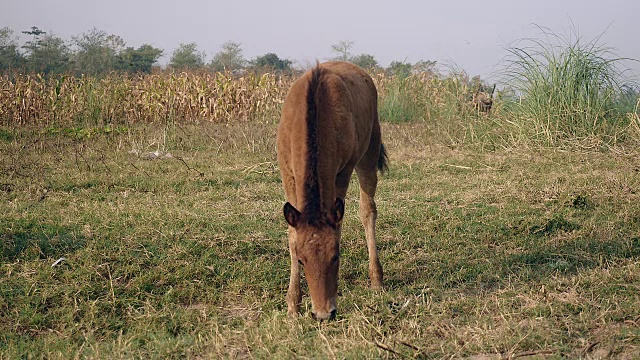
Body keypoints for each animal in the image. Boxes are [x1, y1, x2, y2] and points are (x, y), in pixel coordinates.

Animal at [276, 62, 384, 320]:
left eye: (336, 256)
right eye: (302, 260)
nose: (323, 313)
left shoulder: (343, 171)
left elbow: (342, 221)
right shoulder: (287, 173)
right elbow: (292, 233)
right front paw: (293, 303)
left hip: (369, 153)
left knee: (368, 210)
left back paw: (376, 279)